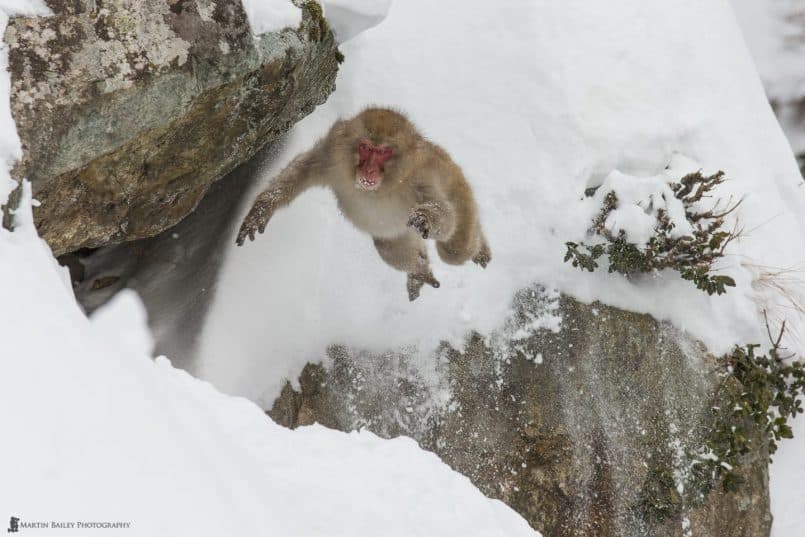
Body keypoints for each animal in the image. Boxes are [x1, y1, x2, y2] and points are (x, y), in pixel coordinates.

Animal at [234, 107, 490, 300]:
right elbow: (301, 171)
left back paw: (479, 246)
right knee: (388, 247)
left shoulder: (420, 179)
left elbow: (445, 215)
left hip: (459, 188)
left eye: (384, 152)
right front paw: (262, 209)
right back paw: (419, 272)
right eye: (366, 148)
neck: (379, 189)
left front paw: (425, 217)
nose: (369, 170)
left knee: (453, 249)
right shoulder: (333, 153)